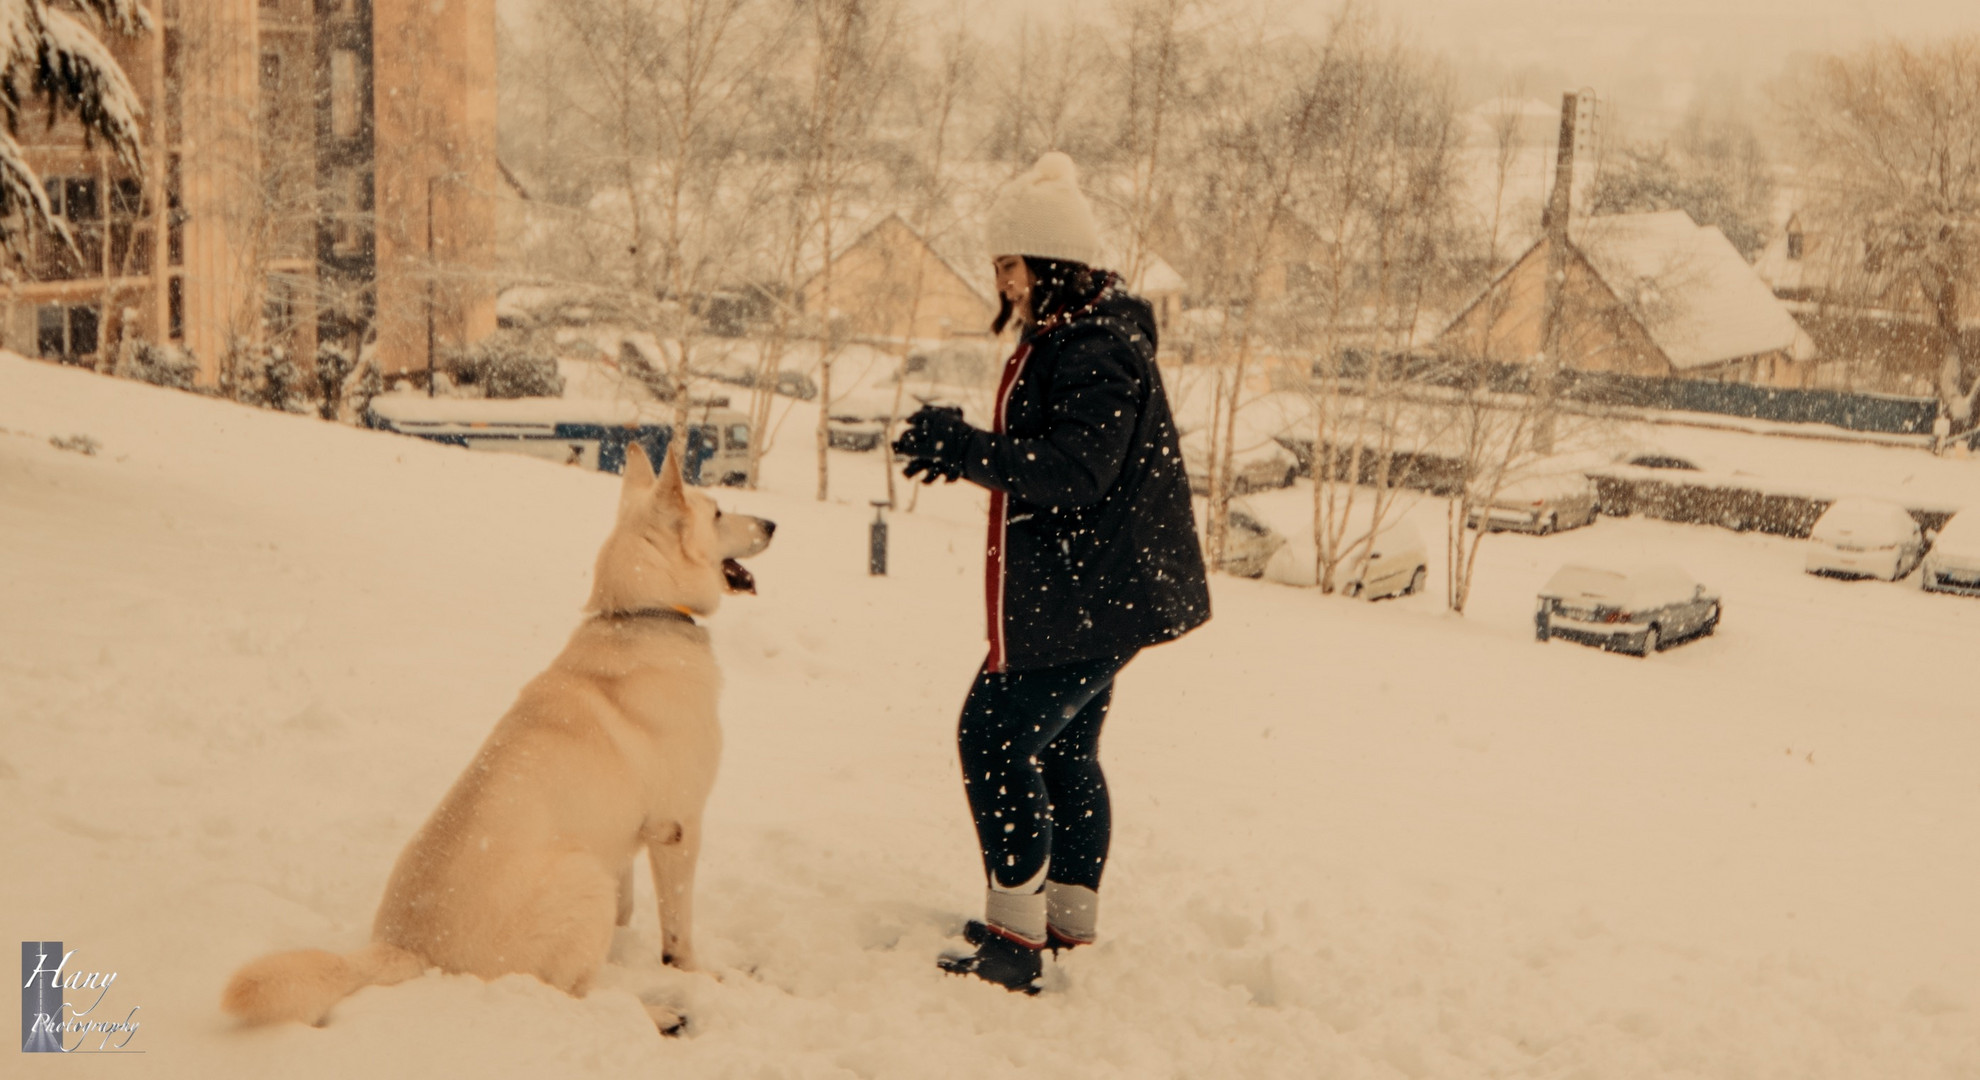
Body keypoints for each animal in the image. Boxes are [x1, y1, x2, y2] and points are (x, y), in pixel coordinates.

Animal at [220, 441, 768, 1030]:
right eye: (718, 512)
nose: (773, 524)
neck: (641, 613)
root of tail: (408, 948)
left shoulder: (626, 835)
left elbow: (628, 907)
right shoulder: (678, 827)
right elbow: (678, 931)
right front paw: (696, 974)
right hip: (583, 877)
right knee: (571, 997)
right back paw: (658, 1013)